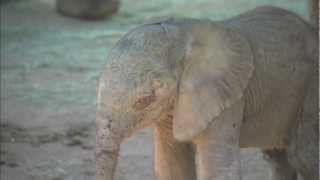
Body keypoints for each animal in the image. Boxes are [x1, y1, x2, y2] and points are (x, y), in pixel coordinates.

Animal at [95, 5, 318, 180]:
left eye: (144, 100)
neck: (181, 33)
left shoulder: (226, 95)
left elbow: (217, 168)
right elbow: (172, 167)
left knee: (303, 157)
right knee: (278, 158)